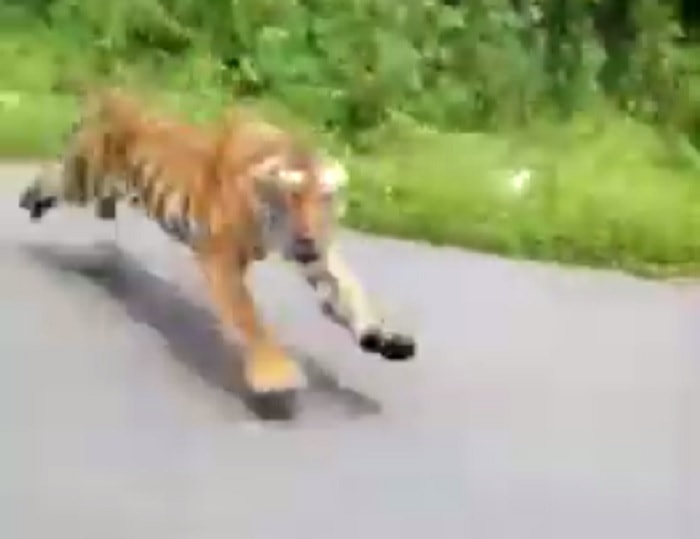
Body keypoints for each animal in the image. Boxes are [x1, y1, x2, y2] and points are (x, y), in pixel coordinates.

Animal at [19, 87, 416, 409]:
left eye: (325, 199)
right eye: (290, 199)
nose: (307, 239)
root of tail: (113, 95)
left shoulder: (317, 256)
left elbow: (350, 291)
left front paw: (385, 339)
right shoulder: (221, 257)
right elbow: (250, 318)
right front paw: (277, 377)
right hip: (81, 177)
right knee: (51, 176)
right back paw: (30, 209)